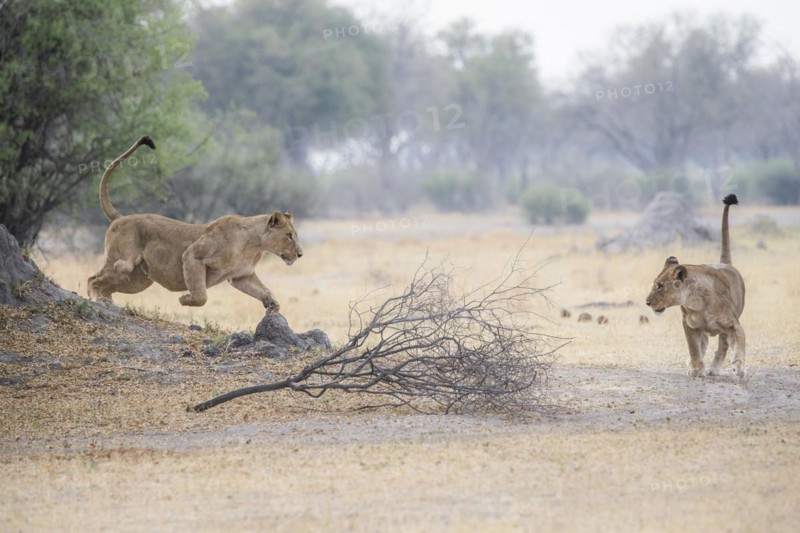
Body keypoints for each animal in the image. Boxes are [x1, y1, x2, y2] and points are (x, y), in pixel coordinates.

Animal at [88, 136, 303, 311]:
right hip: (123, 264)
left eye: (294, 235)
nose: (300, 254)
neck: (254, 244)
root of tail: (120, 217)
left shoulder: (242, 276)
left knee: (107, 284)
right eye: (288, 236)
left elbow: (264, 291)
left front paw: (272, 305)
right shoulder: (193, 256)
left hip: (137, 280)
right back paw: (99, 300)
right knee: (94, 278)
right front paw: (185, 299)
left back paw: (108, 302)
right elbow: (201, 295)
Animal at [645, 194, 746, 378]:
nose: (647, 302)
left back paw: (714, 368)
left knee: (723, 345)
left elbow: (739, 341)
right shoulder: (689, 325)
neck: (697, 303)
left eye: (660, 286)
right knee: (704, 342)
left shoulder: (733, 324)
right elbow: (693, 348)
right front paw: (697, 368)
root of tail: (725, 263)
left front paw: (739, 367)